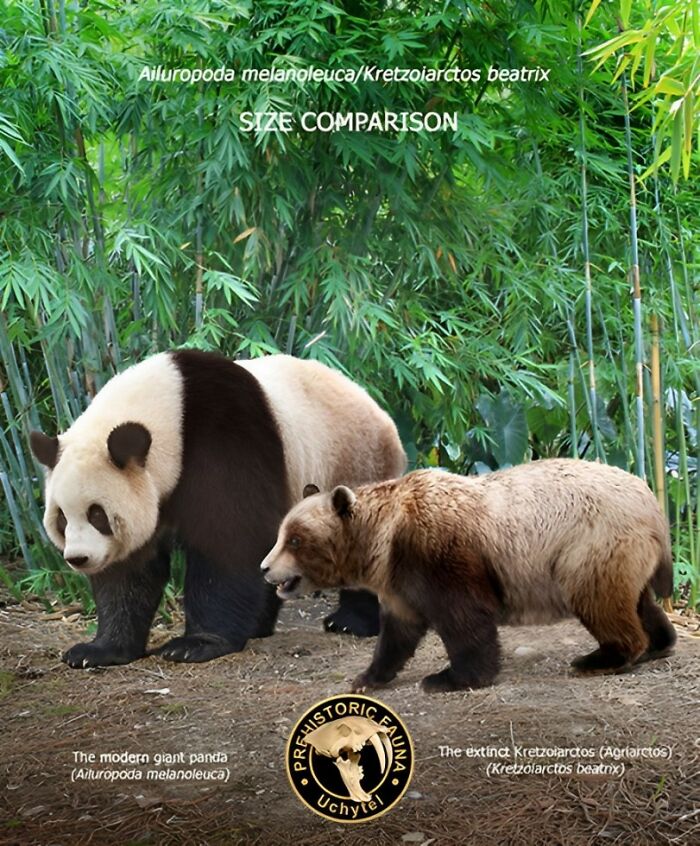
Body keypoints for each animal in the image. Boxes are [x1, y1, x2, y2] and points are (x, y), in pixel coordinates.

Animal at [30, 349, 406, 668]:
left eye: (97, 515)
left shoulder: (222, 436)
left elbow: (227, 540)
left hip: (355, 462)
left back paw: (349, 623)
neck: (171, 409)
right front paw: (97, 650)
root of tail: (379, 410)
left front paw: (195, 644)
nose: (79, 558)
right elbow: (129, 570)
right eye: (61, 518)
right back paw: (257, 626)